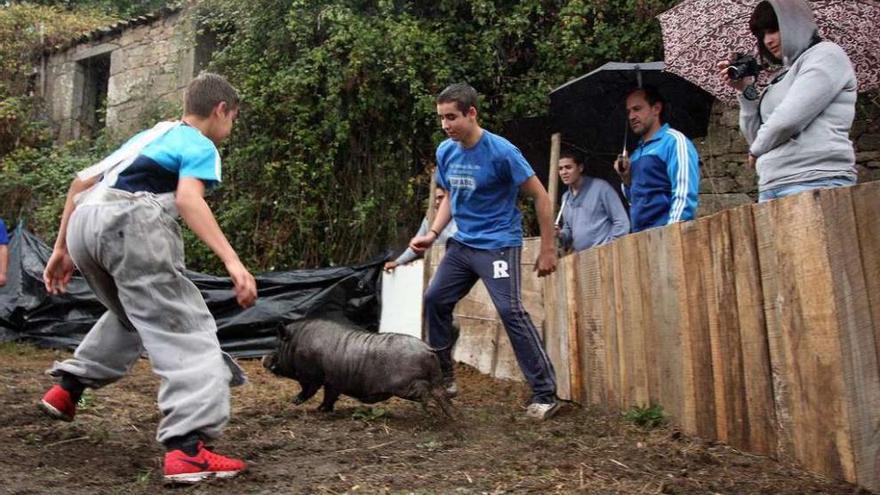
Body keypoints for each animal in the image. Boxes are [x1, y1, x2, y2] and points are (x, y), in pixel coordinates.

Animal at [262, 318, 454, 418]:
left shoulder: (311, 375)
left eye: (277, 345)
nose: (264, 358)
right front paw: (323, 410)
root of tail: (429, 348)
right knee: (441, 393)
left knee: (425, 391)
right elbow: (330, 396)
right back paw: (450, 418)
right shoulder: (333, 381)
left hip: (404, 385)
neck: (295, 344)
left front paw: (295, 402)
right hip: (436, 376)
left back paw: (431, 410)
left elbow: (309, 390)